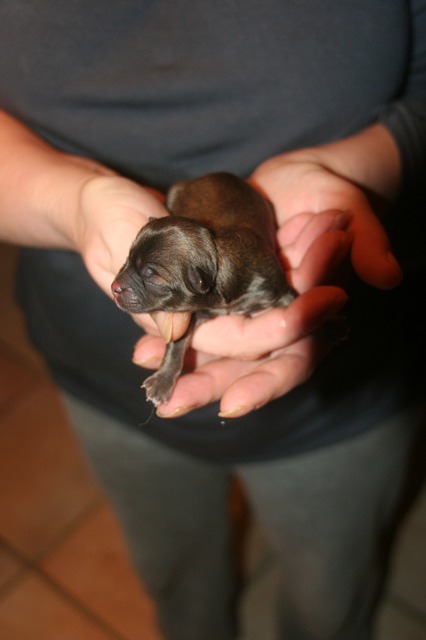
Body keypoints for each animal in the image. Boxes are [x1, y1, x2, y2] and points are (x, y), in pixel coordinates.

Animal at [111, 171, 294, 404]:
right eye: (128, 259)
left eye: (152, 278)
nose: (115, 287)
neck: (219, 256)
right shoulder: (193, 312)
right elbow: (177, 343)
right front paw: (163, 380)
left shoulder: (276, 288)